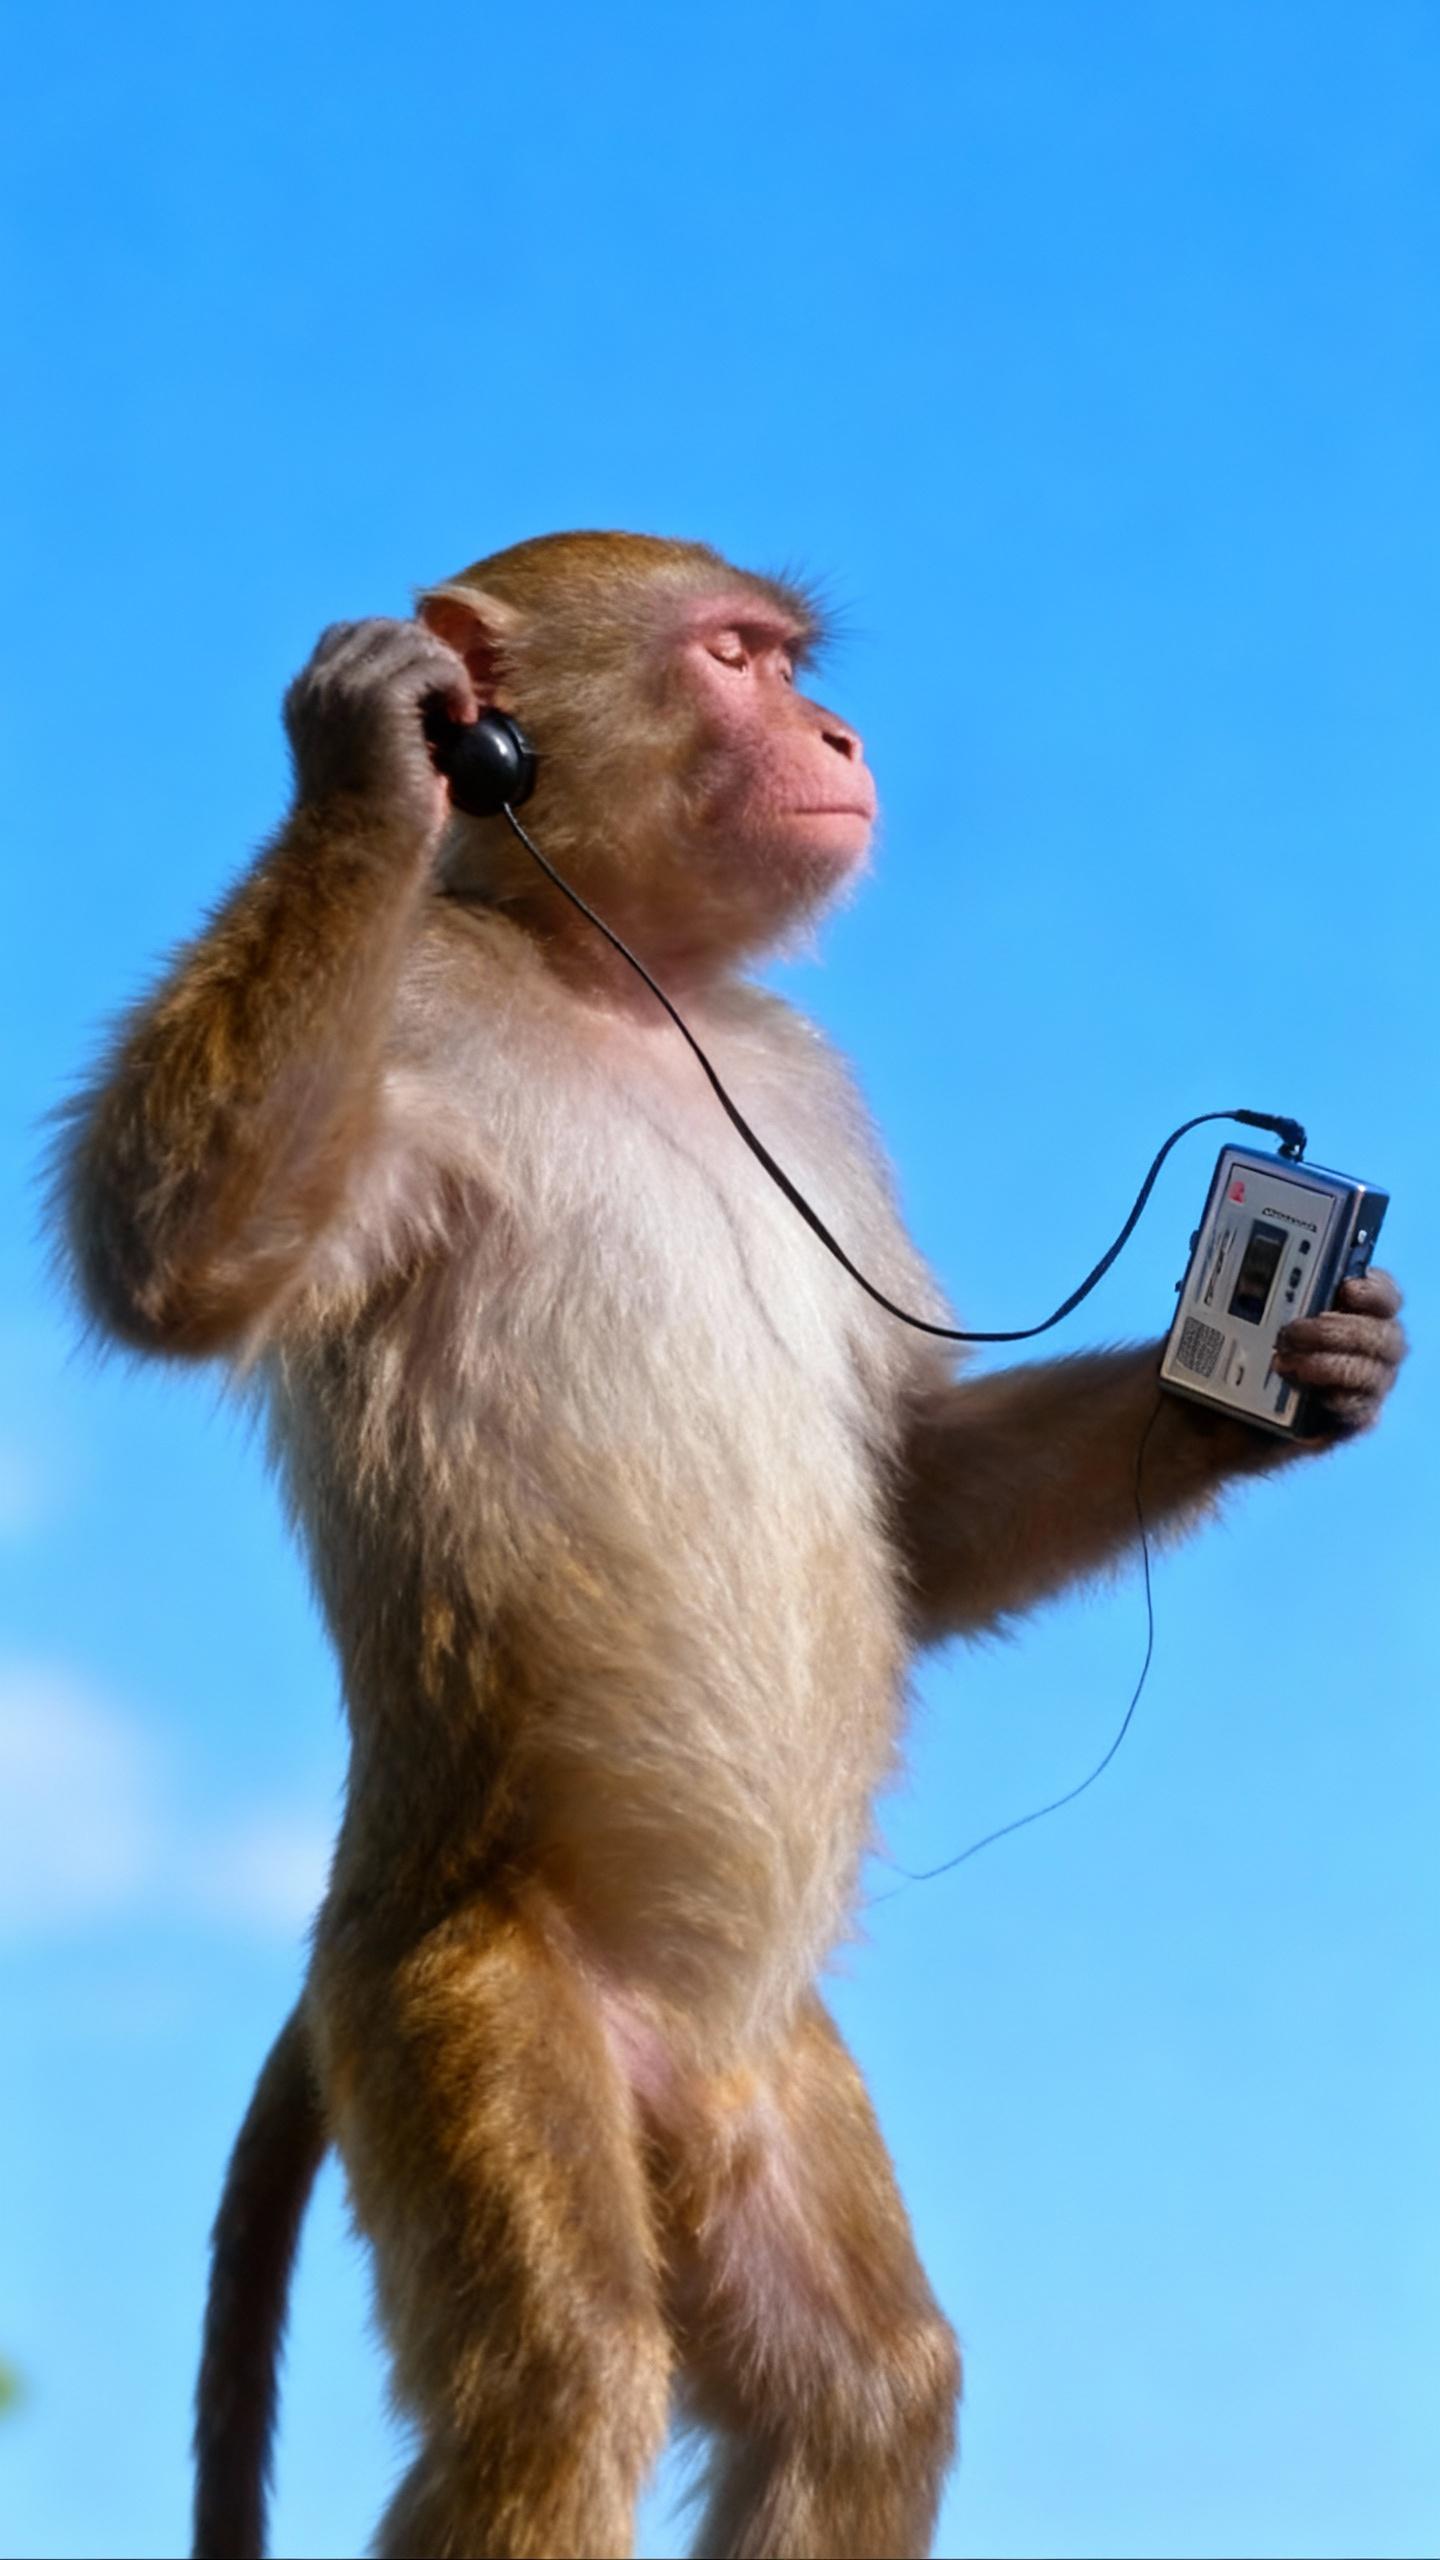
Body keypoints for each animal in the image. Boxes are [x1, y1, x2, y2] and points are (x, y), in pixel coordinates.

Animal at [56, 532, 1406, 2560]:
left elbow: (919, 1506)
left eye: (789, 664)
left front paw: (1290, 1359)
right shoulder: (408, 1011)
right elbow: (177, 1252)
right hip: (461, 1990)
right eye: (738, 661)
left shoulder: (802, 1080)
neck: (621, 986)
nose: (837, 734)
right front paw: (360, 760)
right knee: (563, 2377)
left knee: (867, 2391)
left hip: (761, 2065)